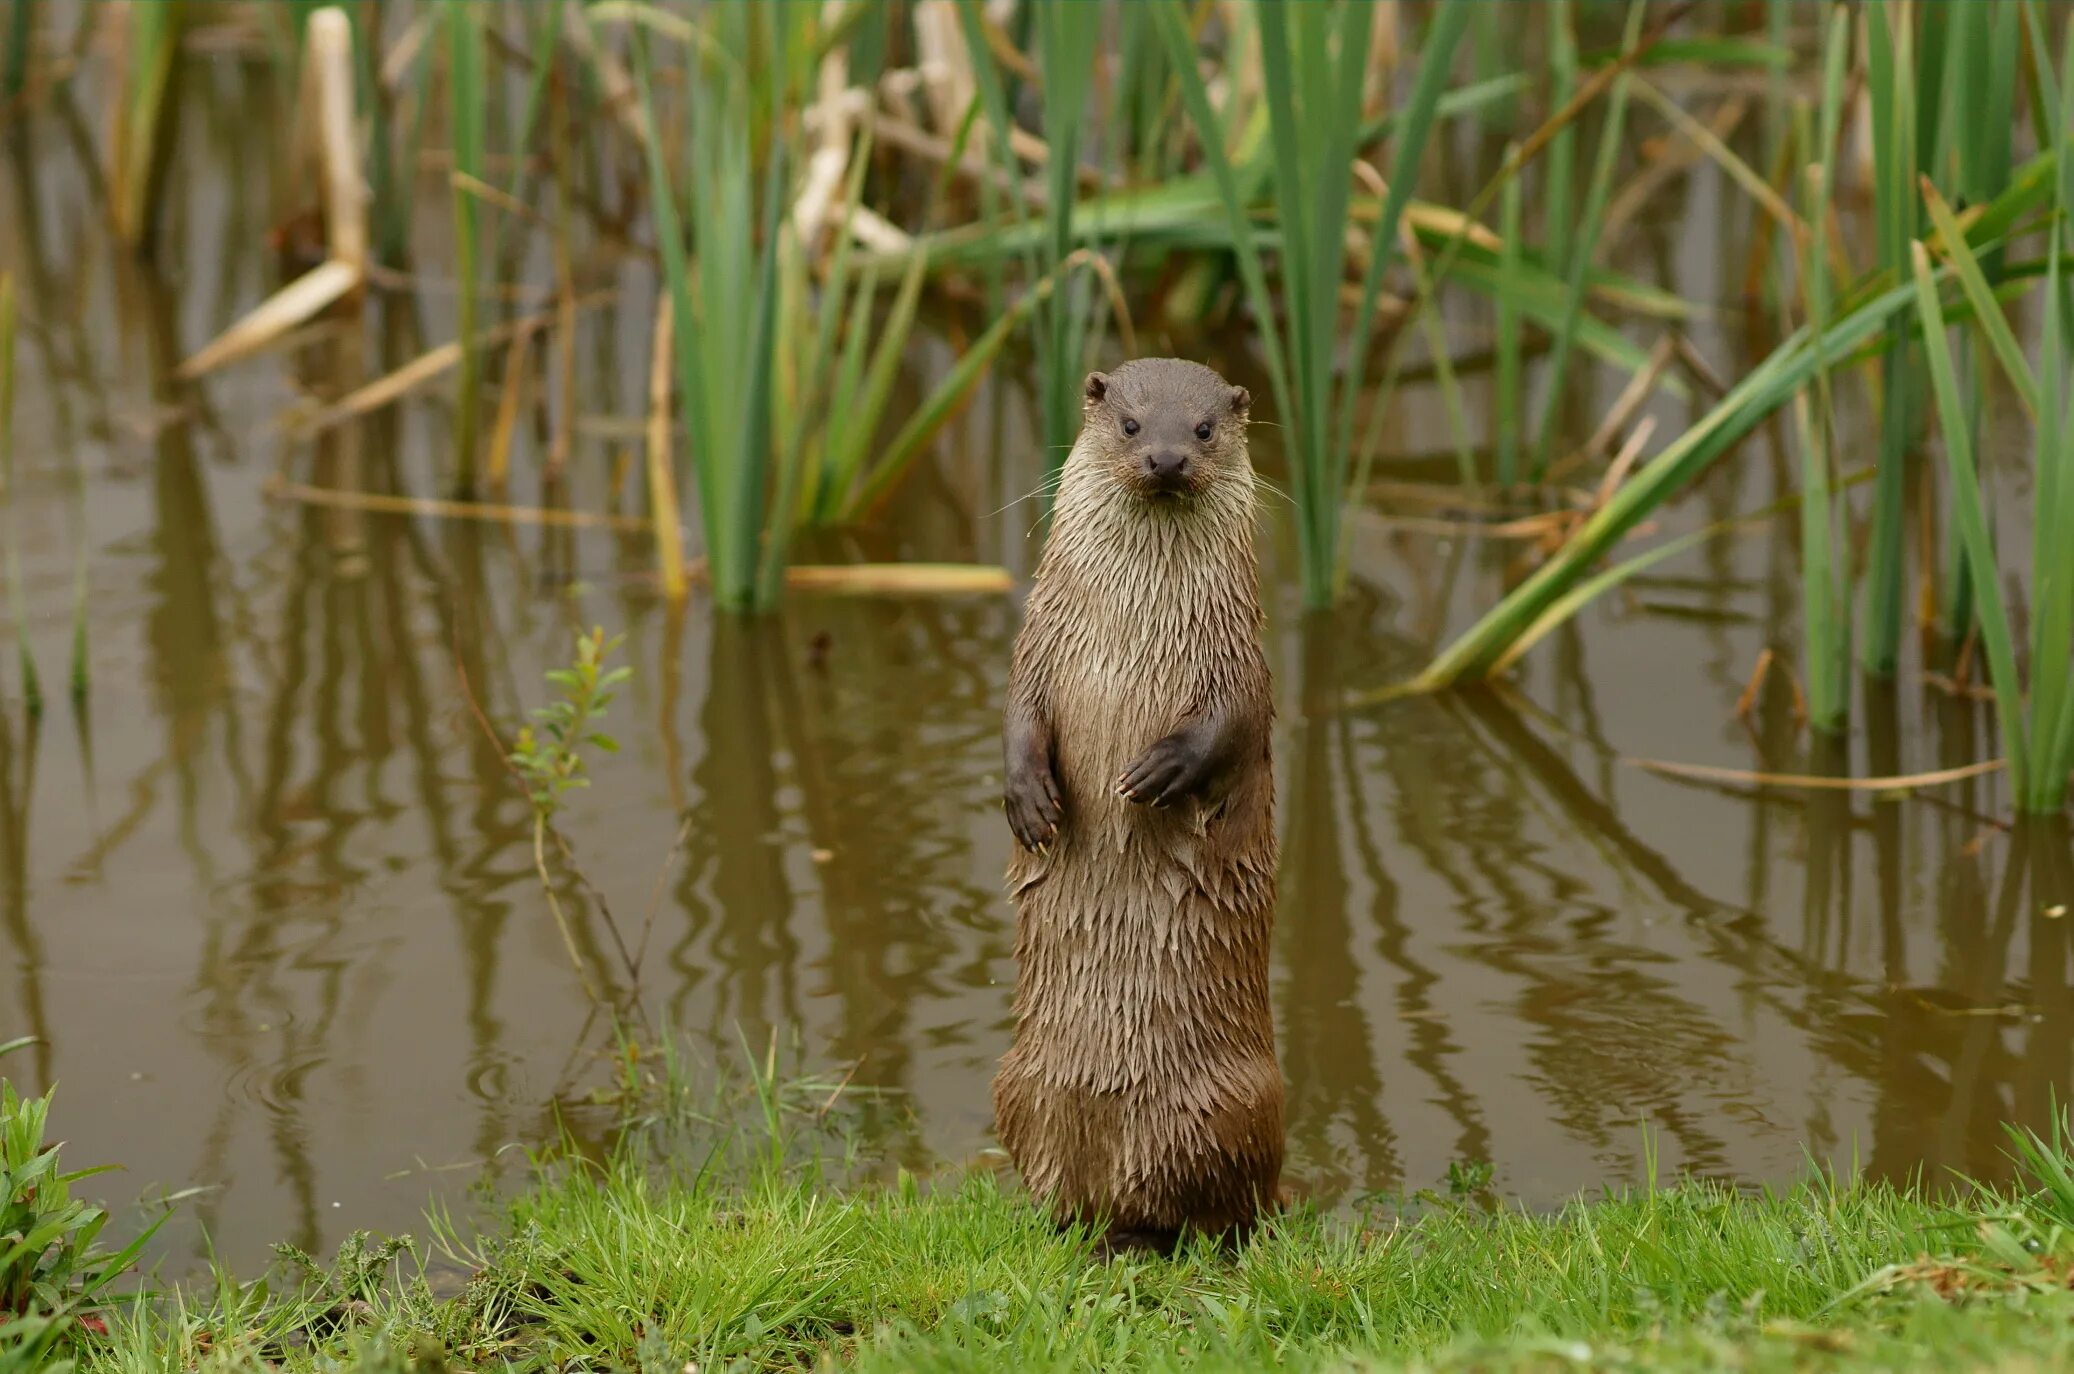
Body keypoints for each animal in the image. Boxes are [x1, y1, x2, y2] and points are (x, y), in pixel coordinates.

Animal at [991, 356, 1277, 1261]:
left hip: (1237, 1106)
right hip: (1018, 1084)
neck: (1126, 627)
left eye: (1204, 429)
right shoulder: (1035, 647)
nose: (1166, 459)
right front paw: (1031, 802)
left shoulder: (1240, 659)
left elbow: (1230, 724)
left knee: (1232, 1207)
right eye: (1129, 424)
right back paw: (1069, 1222)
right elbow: (1017, 717)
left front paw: (1158, 772)